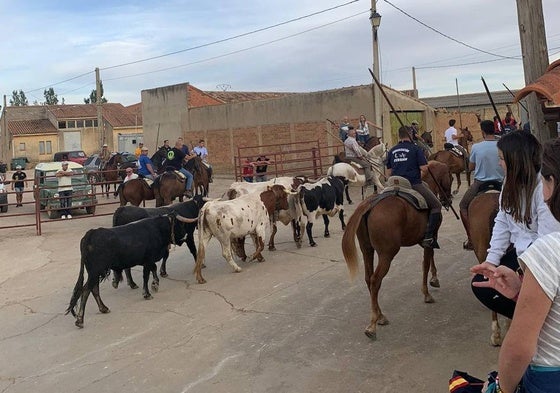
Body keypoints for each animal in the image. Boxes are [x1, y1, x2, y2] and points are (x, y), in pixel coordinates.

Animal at [342, 189, 442, 336]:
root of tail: (369, 204)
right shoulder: (431, 237)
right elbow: (426, 263)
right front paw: (427, 293)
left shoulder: (424, 241)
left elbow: (430, 257)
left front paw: (434, 279)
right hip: (386, 255)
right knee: (375, 280)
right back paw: (373, 324)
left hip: (367, 250)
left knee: (368, 278)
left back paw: (380, 316)